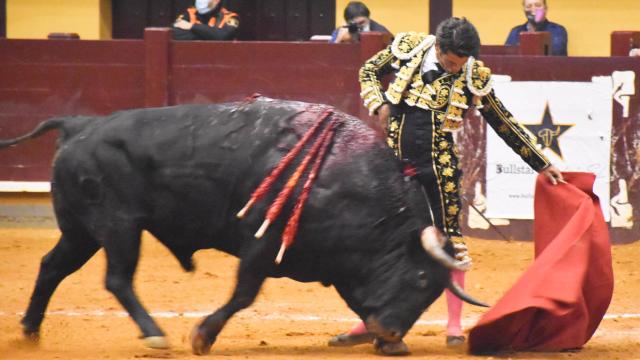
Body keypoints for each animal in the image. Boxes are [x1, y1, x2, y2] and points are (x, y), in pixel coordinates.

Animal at [0, 97, 484, 356]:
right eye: (420, 279)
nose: (392, 335)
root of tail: (80, 124)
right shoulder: (262, 241)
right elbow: (244, 293)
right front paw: (202, 336)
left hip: (81, 231)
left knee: (52, 267)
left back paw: (30, 331)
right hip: (119, 226)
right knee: (117, 278)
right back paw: (154, 334)